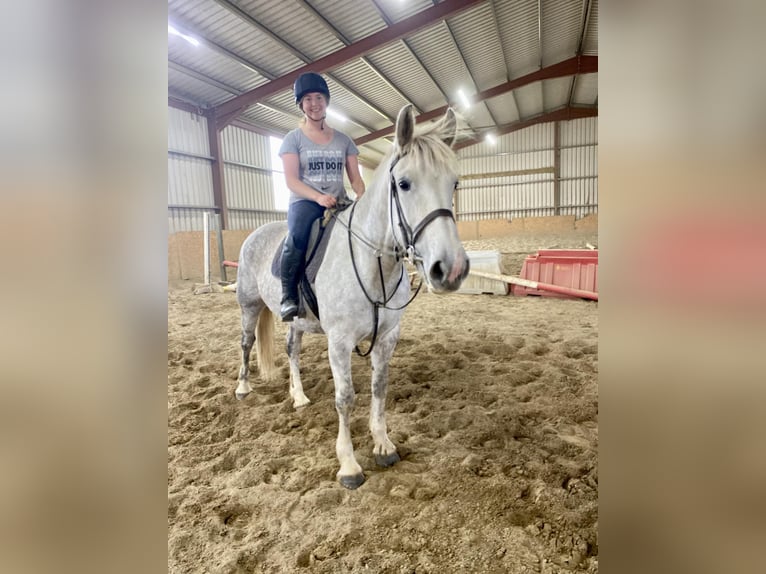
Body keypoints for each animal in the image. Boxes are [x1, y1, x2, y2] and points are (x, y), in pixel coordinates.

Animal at [237, 104, 472, 490]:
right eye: (404, 184)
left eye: (454, 183)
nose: (450, 269)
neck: (371, 263)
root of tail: (255, 232)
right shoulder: (339, 341)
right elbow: (345, 398)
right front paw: (349, 465)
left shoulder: (387, 337)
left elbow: (379, 386)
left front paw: (383, 445)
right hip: (249, 306)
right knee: (245, 343)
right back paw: (242, 388)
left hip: (296, 321)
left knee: (291, 351)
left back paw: (298, 396)